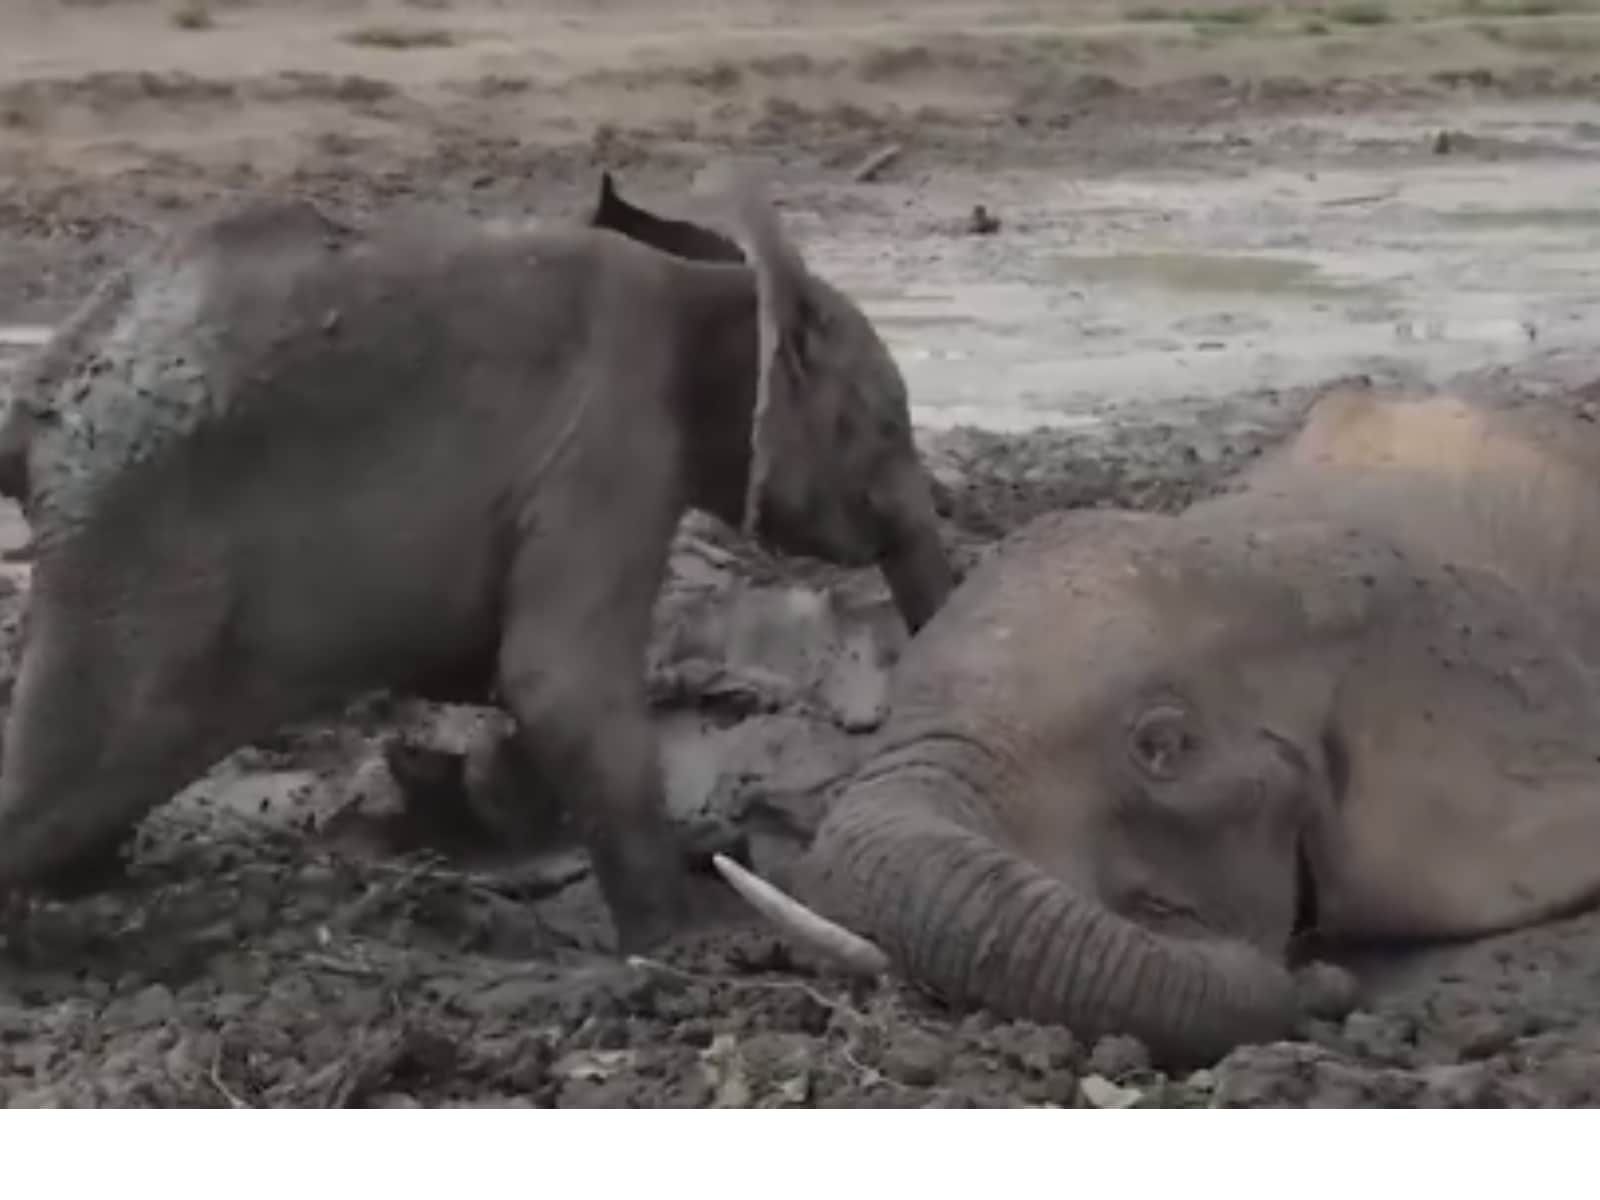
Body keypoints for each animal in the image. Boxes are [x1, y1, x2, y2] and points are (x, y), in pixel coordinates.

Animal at [0, 173, 947, 953]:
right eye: (887, 427)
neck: (709, 286)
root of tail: (35, 398)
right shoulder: (610, 444)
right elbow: (556, 681)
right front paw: (684, 944)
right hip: (136, 557)